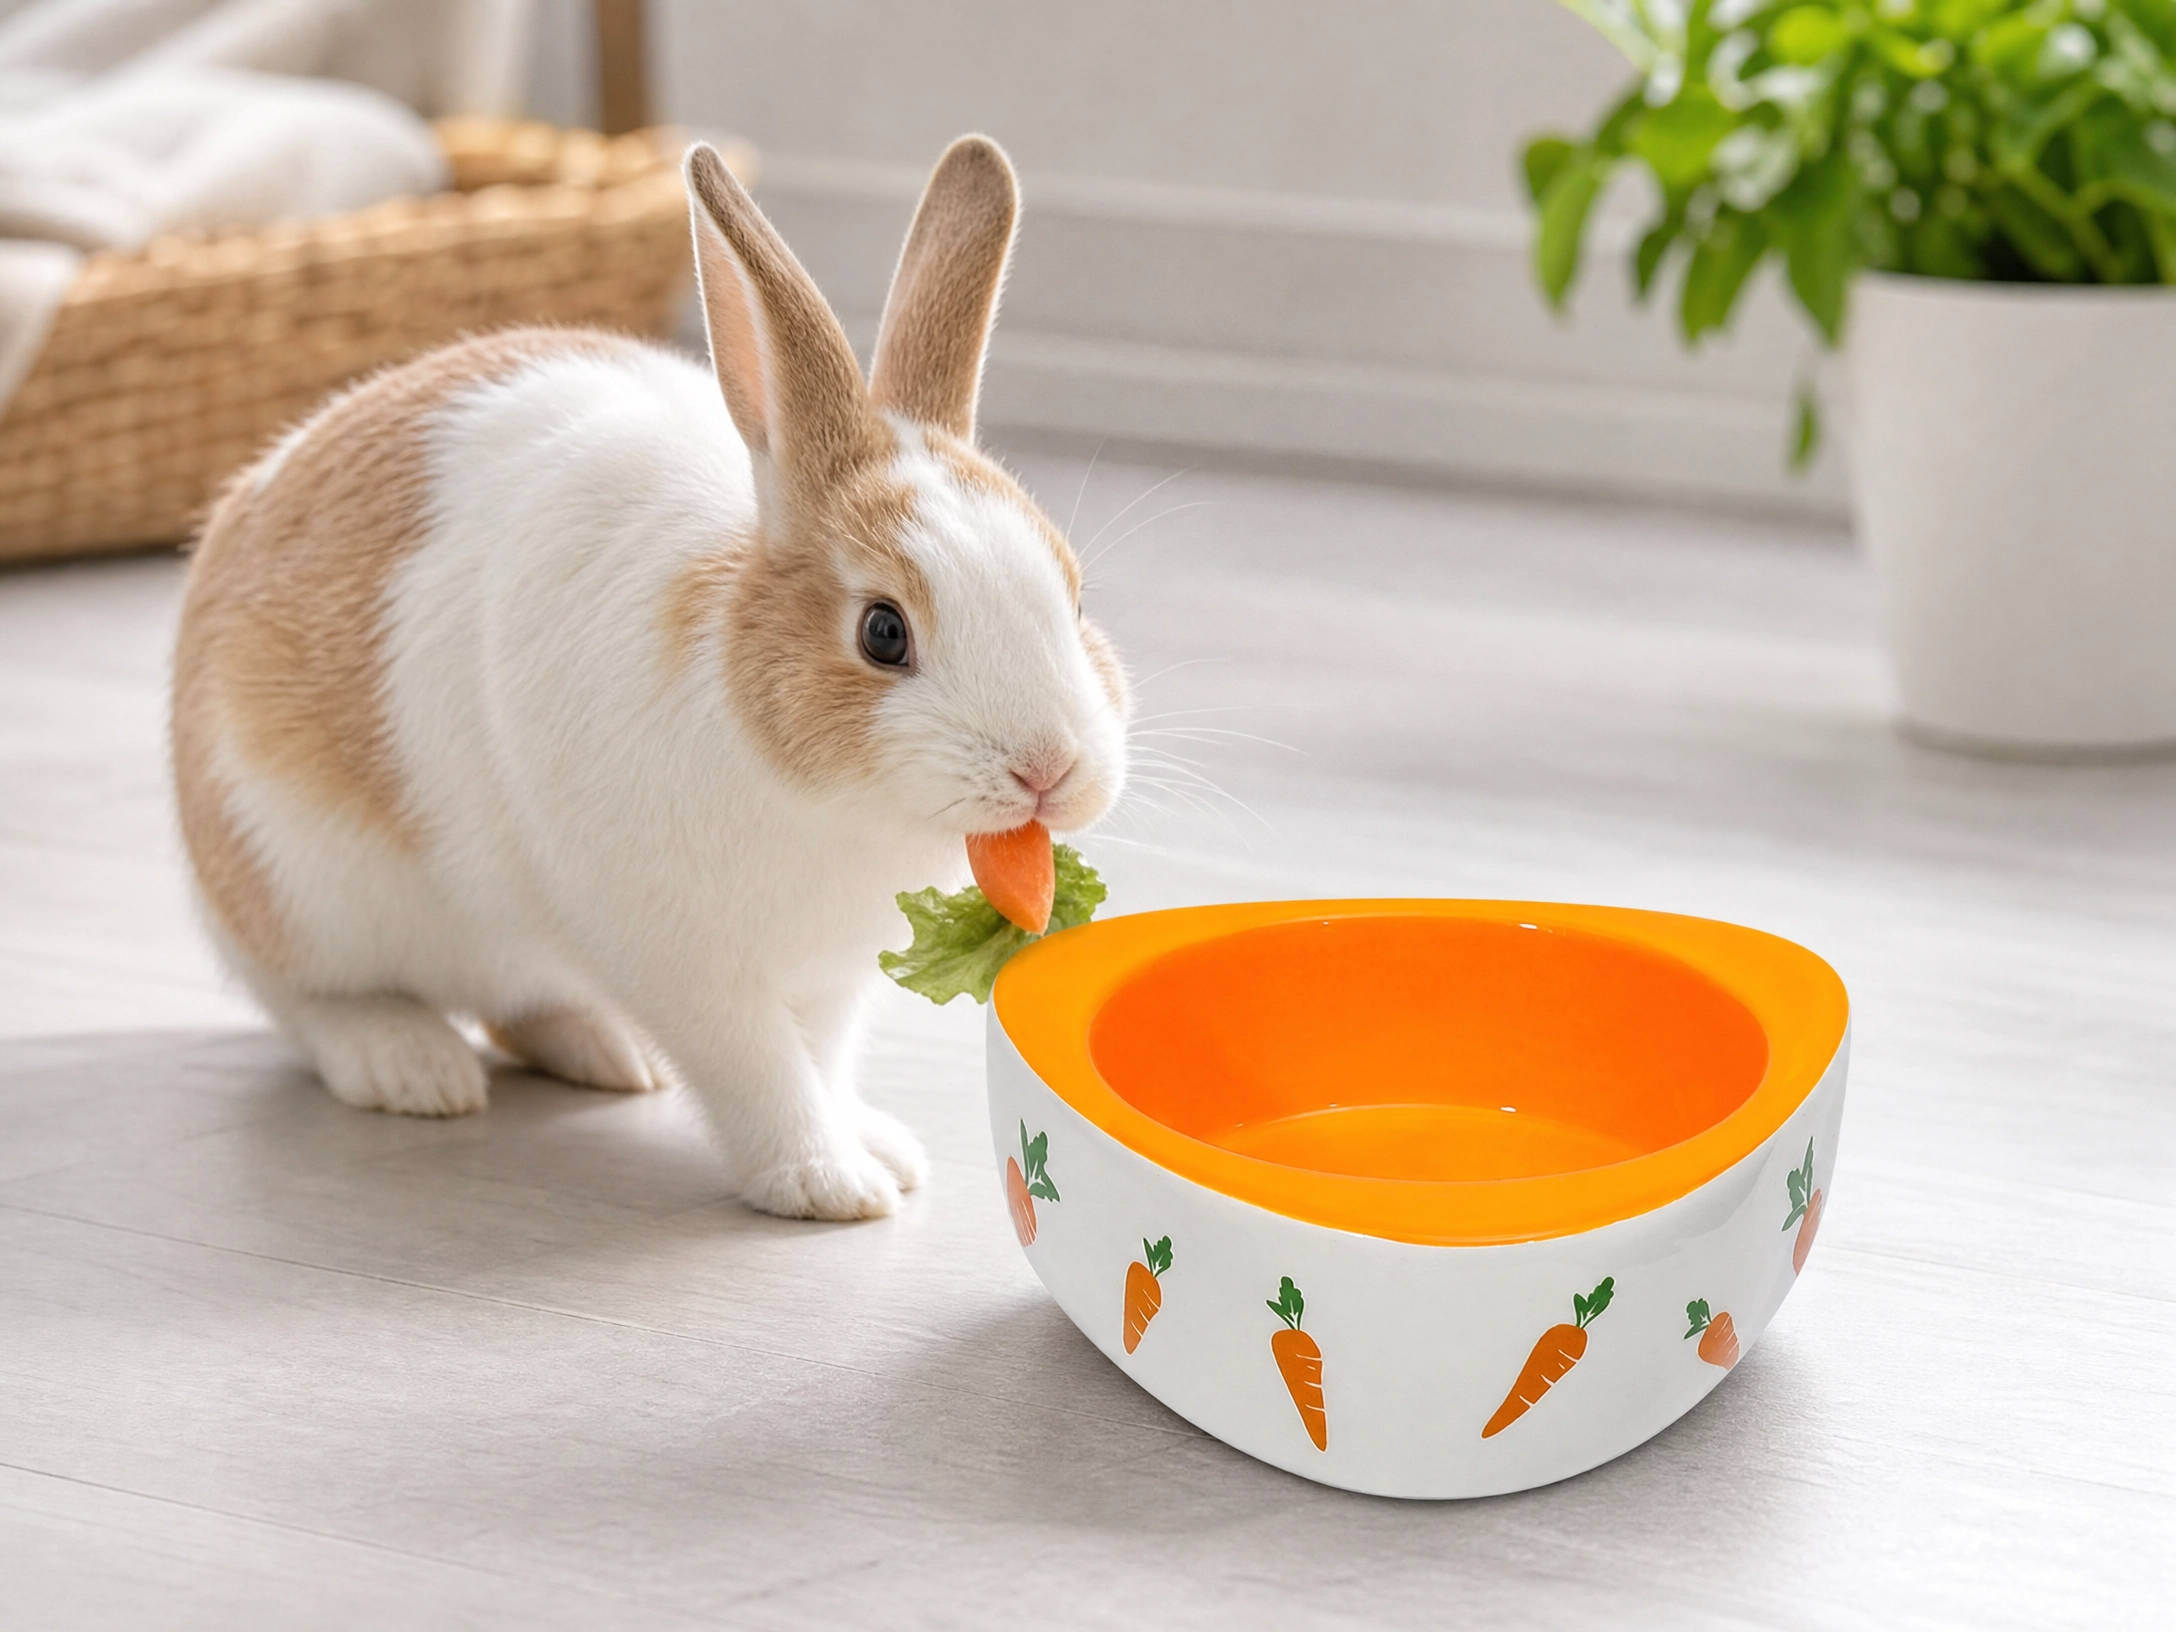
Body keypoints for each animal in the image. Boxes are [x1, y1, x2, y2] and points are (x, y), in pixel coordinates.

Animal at [169, 135, 1131, 1221]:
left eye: (1075, 597)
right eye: (883, 632)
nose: (1049, 769)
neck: (827, 806)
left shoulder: (832, 978)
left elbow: (823, 1060)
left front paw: (879, 1150)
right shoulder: (684, 961)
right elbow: (761, 1071)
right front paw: (827, 1184)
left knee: (518, 1006)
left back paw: (607, 1053)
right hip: (293, 878)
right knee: (306, 1001)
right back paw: (412, 1067)